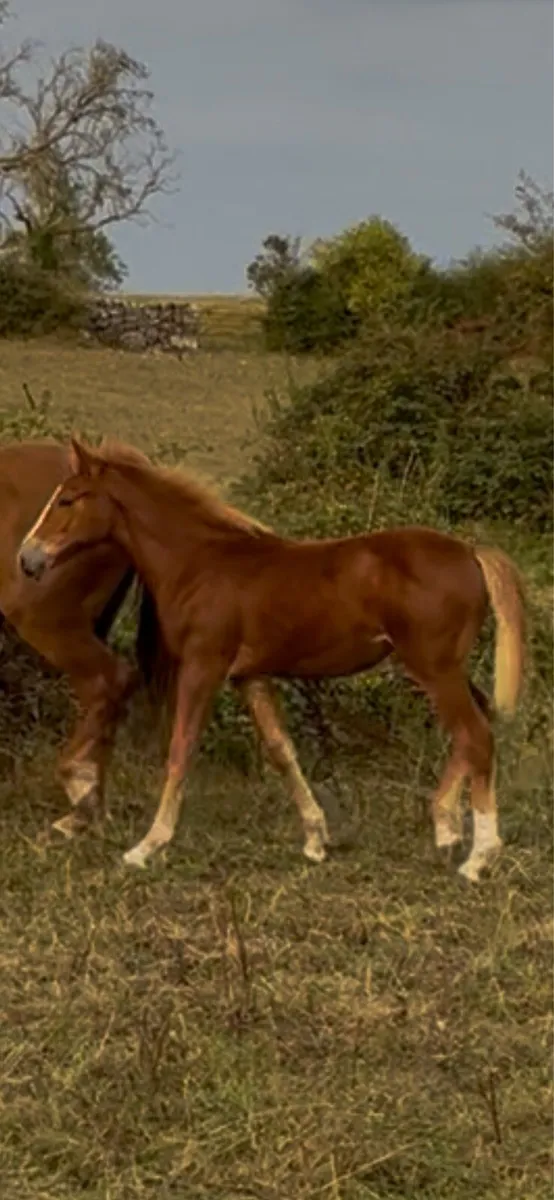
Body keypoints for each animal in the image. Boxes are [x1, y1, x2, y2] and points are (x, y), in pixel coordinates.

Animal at [18, 436, 526, 883]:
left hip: (434, 668)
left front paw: (147, 846)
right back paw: (445, 829)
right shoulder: (250, 676)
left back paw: (478, 857)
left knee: (477, 735)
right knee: (477, 725)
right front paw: (316, 839)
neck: (200, 562)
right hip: (443, 668)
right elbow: (283, 751)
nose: (27, 559)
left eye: (67, 499)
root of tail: (471, 552)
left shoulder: (204, 666)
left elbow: (181, 749)